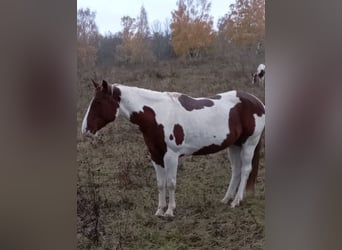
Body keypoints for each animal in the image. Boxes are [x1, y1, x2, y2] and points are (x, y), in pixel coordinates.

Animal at [81, 80, 266, 217]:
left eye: (98, 102)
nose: (85, 130)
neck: (158, 115)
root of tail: (258, 103)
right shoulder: (155, 155)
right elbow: (160, 184)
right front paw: (159, 211)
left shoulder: (171, 156)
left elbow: (170, 183)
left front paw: (170, 211)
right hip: (234, 145)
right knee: (236, 171)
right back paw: (226, 199)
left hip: (249, 144)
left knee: (245, 170)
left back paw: (236, 201)